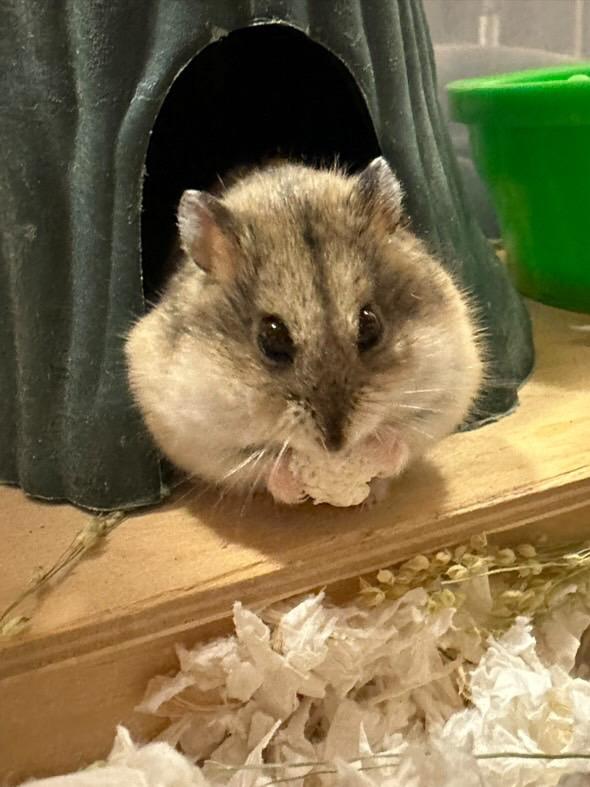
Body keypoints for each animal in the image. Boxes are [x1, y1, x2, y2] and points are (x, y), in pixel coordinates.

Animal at [125, 158, 484, 506]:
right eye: (271, 339)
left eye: (370, 325)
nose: (335, 445)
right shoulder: (194, 437)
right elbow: (258, 465)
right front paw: (291, 479)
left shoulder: (446, 395)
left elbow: (403, 441)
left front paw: (378, 455)